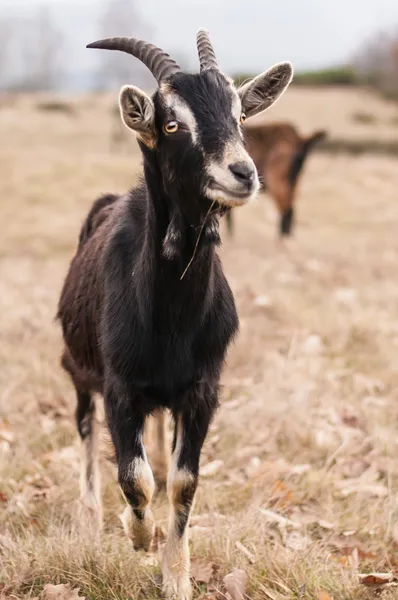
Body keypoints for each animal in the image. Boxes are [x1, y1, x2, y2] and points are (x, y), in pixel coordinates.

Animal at [56, 30, 292, 596]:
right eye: (171, 123)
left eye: (239, 115)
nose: (243, 173)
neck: (172, 318)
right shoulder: (119, 387)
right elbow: (131, 477)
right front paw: (138, 535)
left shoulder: (203, 388)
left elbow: (185, 482)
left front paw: (177, 577)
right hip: (78, 369)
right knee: (85, 430)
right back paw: (93, 516)